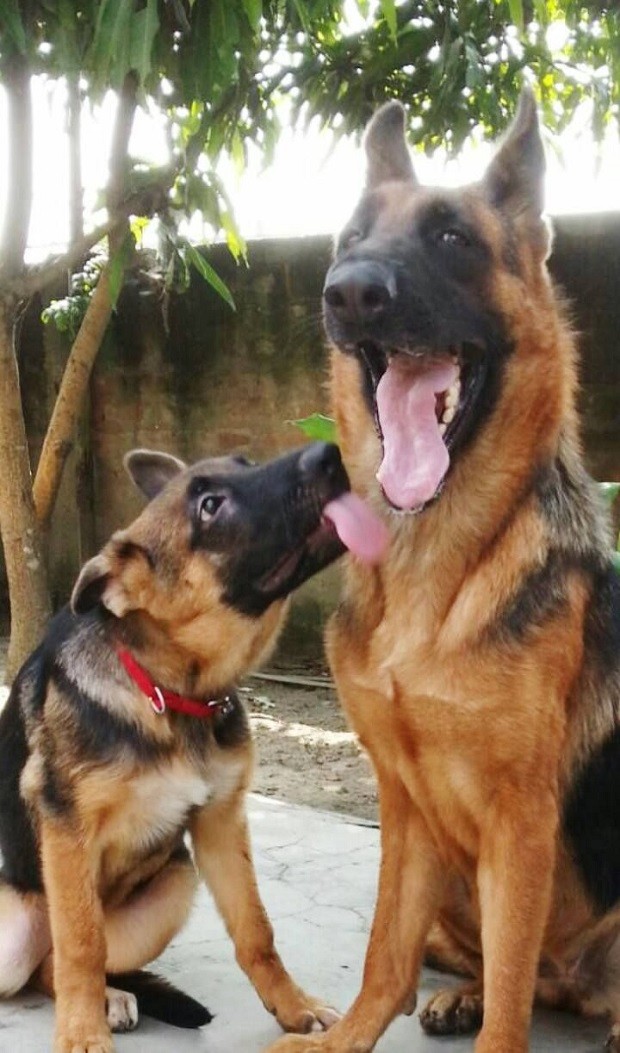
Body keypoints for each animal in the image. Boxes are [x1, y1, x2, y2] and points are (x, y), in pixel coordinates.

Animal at [0, 442, 385, 1053]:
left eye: (244, 461)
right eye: (209, 507)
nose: (328, 452)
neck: (172, 695)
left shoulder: (220, 822)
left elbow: (257, 930)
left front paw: (294, 1007)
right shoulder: (67, 829)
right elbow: (82, 943)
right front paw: (81, 1034)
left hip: (177, 883)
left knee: (52, 965)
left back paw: (113, 996)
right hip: (14, 937)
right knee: (53, 958)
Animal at [268, 90, 618, 1053]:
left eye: (454, 239)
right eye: (350, 238)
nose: (350, 291)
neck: (431, 569)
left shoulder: (518, 820)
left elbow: (510, 1011)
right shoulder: (402, 802)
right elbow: (385, 955)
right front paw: (347, 1035)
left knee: (537, 982)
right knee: (496, 967)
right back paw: (459, 993)